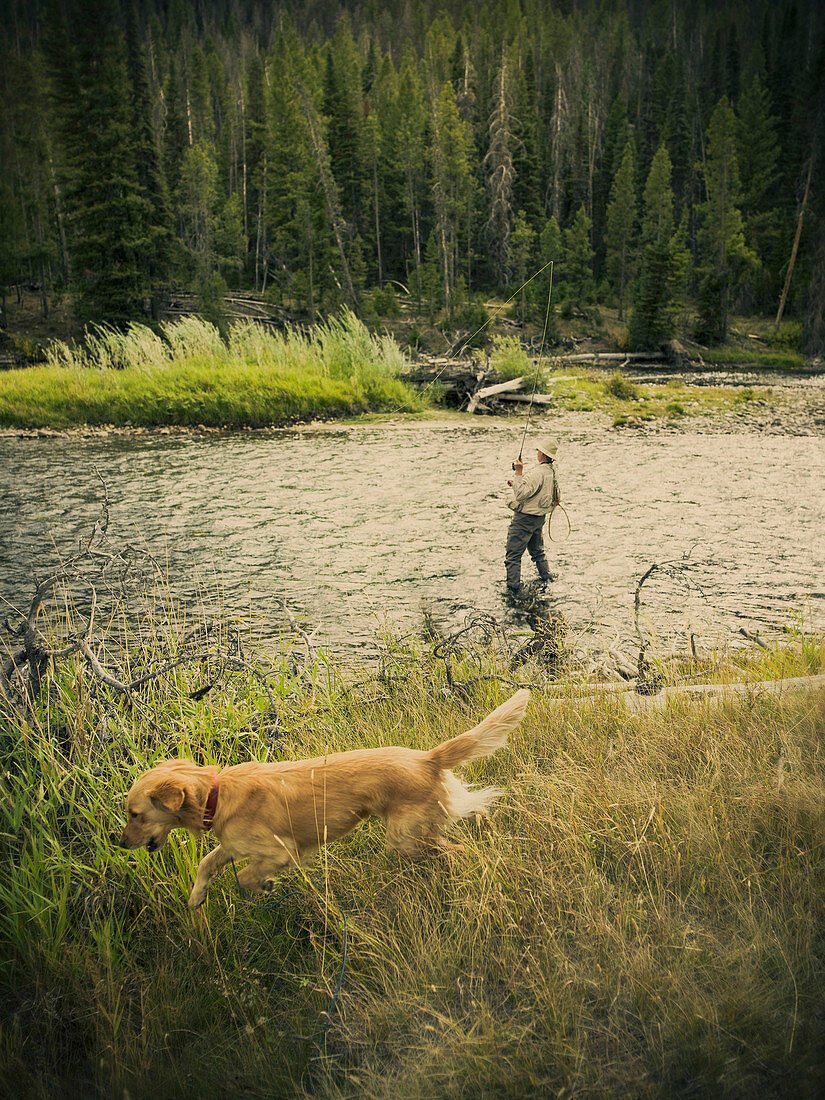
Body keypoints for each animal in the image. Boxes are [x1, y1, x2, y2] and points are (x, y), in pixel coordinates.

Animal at [117, 686, 530, 910]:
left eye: (134, 814)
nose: (118, 843)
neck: (216, 795)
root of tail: (427, 757)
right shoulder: (232, 846)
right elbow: (206, 863)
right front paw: (196, 897)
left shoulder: (279, 850)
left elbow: (246, 877)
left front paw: (264, 886)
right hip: (423, 826)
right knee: (472, 817)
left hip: (406, 837)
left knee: (455, 851)